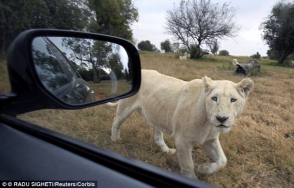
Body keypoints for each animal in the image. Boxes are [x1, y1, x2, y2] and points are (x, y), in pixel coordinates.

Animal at [107, 69, 254, 179]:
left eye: (233, 100)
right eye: (214, 98)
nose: (221, 118)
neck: (207, 122)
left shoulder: (209, 139)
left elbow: (223, 160)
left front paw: (204, 168)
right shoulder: (182, 140)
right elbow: (188, 165)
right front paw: (193, 178)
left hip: (157, 115)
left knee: (157, 135)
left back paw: (166, 150)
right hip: (126, 106)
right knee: (115, 121)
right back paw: (115, 139)